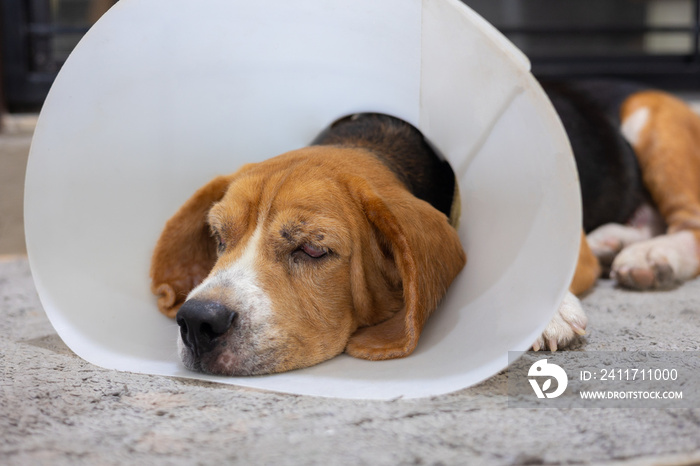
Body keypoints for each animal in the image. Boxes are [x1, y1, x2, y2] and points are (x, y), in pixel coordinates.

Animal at [150, 80, 700, 374]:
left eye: (313, 250)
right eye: (219, 239)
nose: (197, 321)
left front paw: (546, 312)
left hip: (649, 116)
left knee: (689, 224)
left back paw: (654, 258)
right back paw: (618, 241)